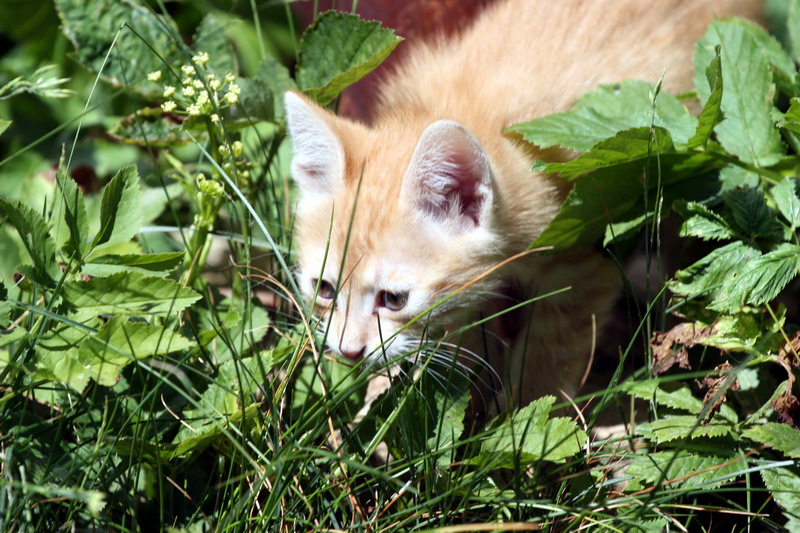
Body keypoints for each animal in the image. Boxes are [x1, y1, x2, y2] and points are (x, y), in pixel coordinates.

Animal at [282, 0, 764, 404]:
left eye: (394, 299)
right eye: (323, 289)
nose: (348, 351)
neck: (476, 114)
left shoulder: (582, 259)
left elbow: (547, 363)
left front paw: (516, 429)